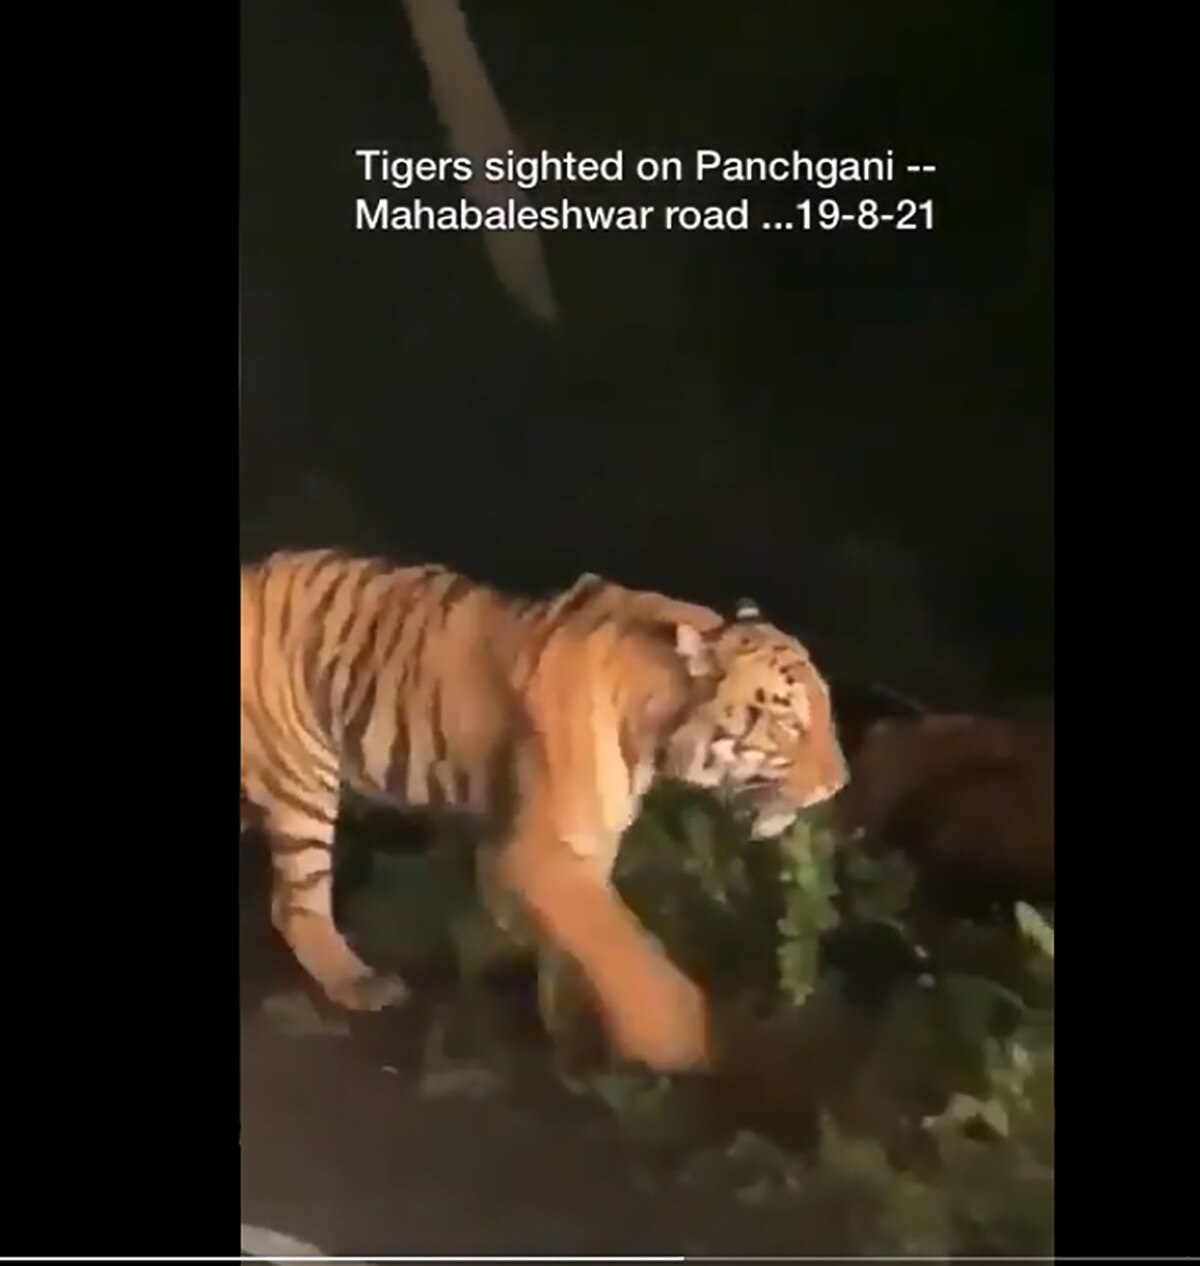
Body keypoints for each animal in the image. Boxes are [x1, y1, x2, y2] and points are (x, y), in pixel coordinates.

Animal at [240, 549, 849, 1073]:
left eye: (825, 708)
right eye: (789, 720)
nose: (838, 784)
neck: (657, 728)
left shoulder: (582, 846)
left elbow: (579, 948)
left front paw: (573, 1032)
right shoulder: (538, 853)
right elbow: (628, 952)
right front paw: (678, 1046)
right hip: (304, 777)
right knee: (296, 904)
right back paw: (357, 983)